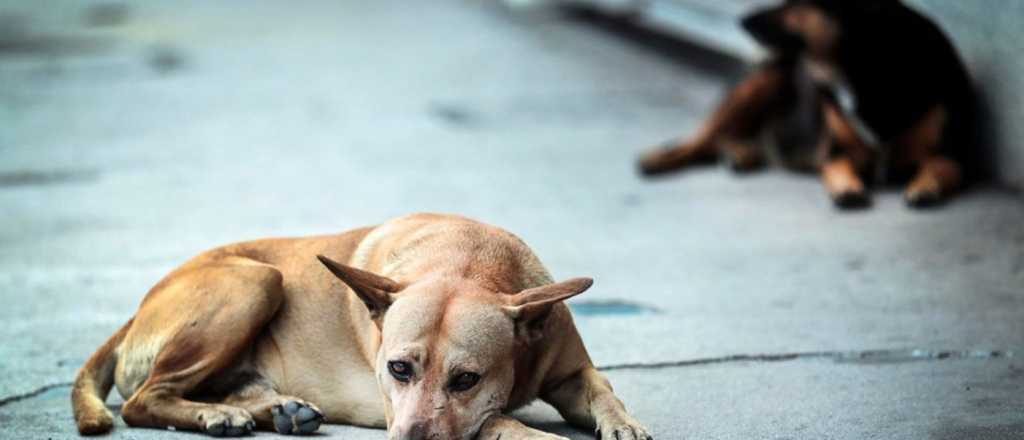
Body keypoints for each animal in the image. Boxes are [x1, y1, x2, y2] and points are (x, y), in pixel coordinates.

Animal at [72, 212, 651, 440]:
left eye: (467, 379)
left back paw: (273, 410)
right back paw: (216, 415)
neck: (469, 263)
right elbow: (494, 420)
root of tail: (138, 309)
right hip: (256, 280)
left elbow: (604, 392)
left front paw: (624, 424)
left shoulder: (573, 371)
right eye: (397, 369)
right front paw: (529, 433)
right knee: (143, 400)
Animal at [638, 0, 974, 209]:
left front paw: (925, 186)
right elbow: (837, 166)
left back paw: (741, 154)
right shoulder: (834, 152)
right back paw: (655, 159)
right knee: (700, 139)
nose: (741, 19)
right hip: (761, 82)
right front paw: (848, 189)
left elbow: (940, 165)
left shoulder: (952, 153)